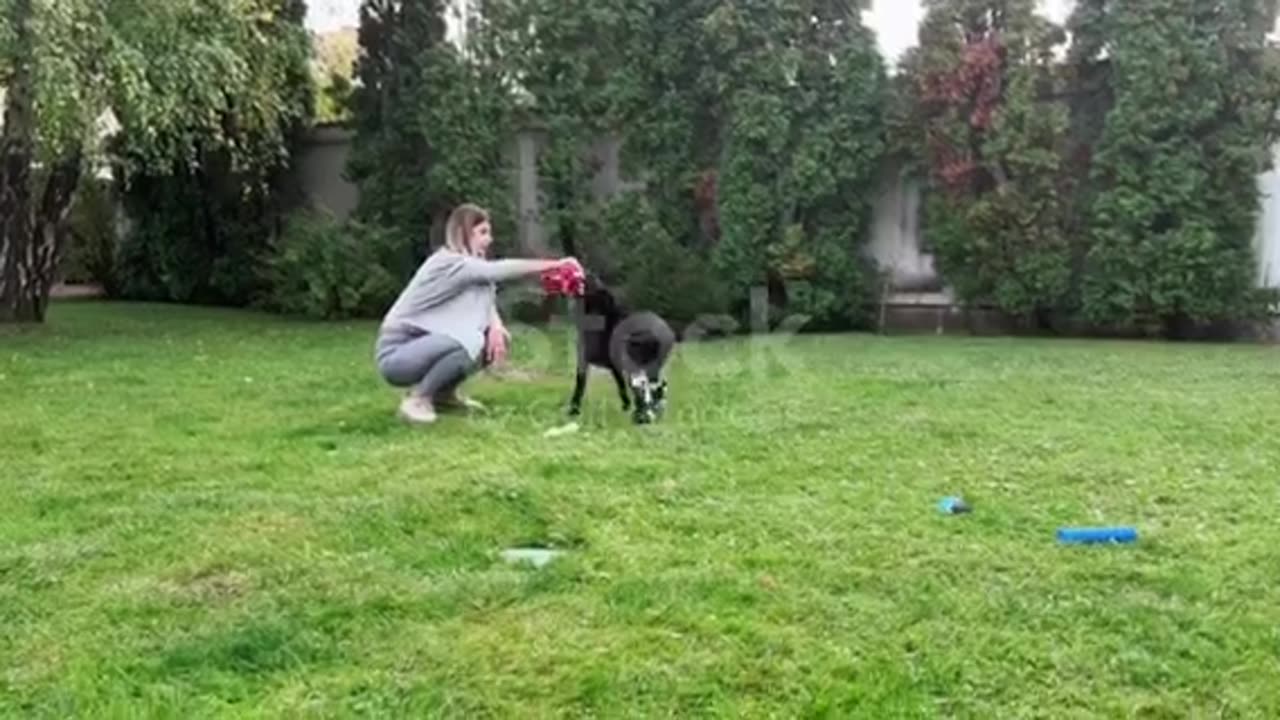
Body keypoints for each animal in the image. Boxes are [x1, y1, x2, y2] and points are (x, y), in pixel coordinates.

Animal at [568, 272, 675, 420]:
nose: (586, 275)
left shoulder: (587, 360)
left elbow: (580, 385)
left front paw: (573, 410)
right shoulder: (612, 366)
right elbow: (620, 385)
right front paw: (626, 406)